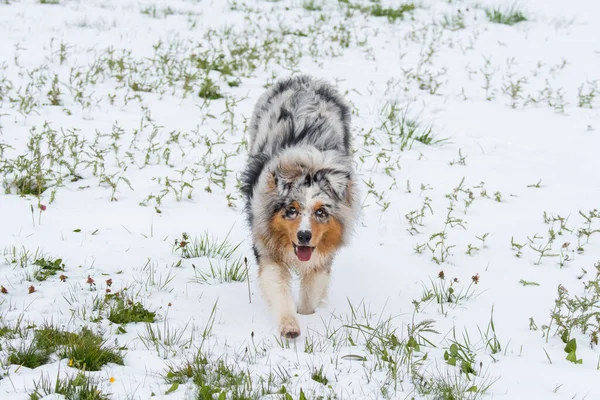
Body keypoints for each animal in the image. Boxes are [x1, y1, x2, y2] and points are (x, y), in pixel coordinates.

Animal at [243, 75, 358, 338]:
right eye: (291, 210)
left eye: (321, 212)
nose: (304, 236)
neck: (309, 165)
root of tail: (304, 80)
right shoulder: (266, 247)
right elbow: (279, 288)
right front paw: (290, 327)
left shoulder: (322, 257)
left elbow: (310, 294)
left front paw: (308, 317)